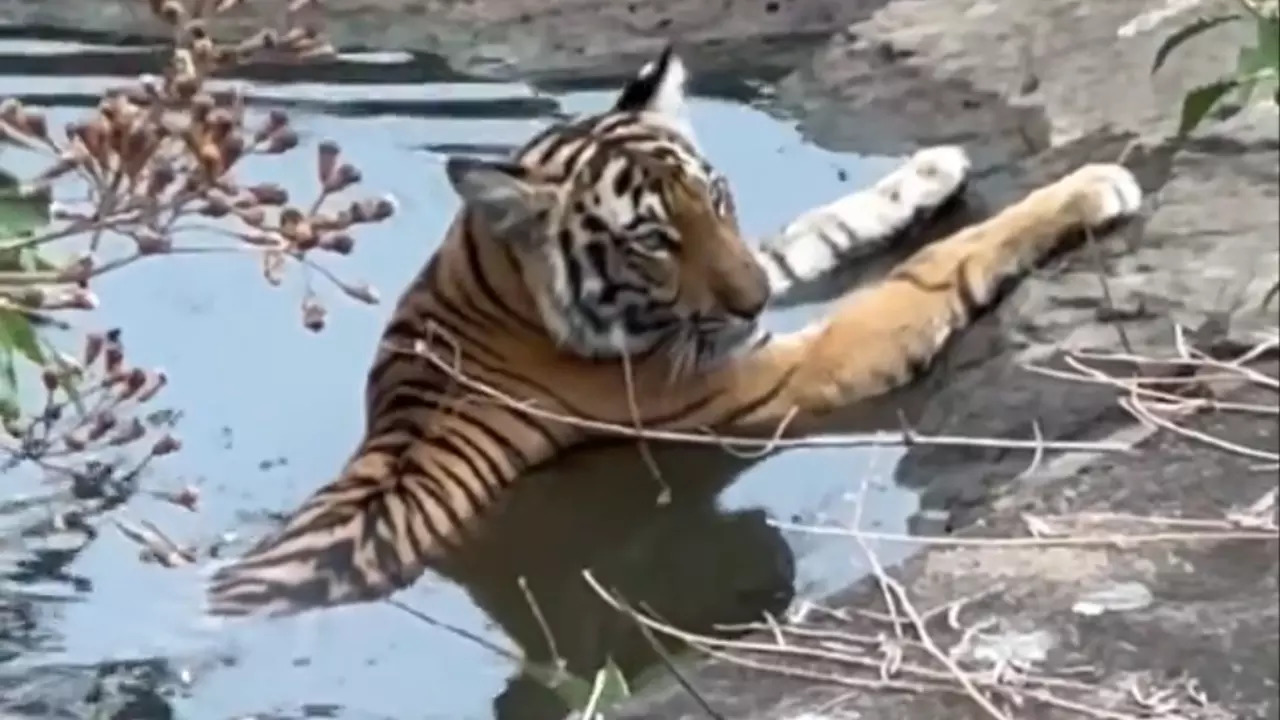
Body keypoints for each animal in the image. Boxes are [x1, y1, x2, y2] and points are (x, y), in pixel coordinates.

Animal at [204, 44, 1146, 617]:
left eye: (715, 198)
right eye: (653, 240)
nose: (753, 303)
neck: (492, 284)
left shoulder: (732, 316)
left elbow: (805, 236)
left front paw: (925, 172)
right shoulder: (763, 370)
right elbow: (930, 272)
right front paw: (1089, 187)